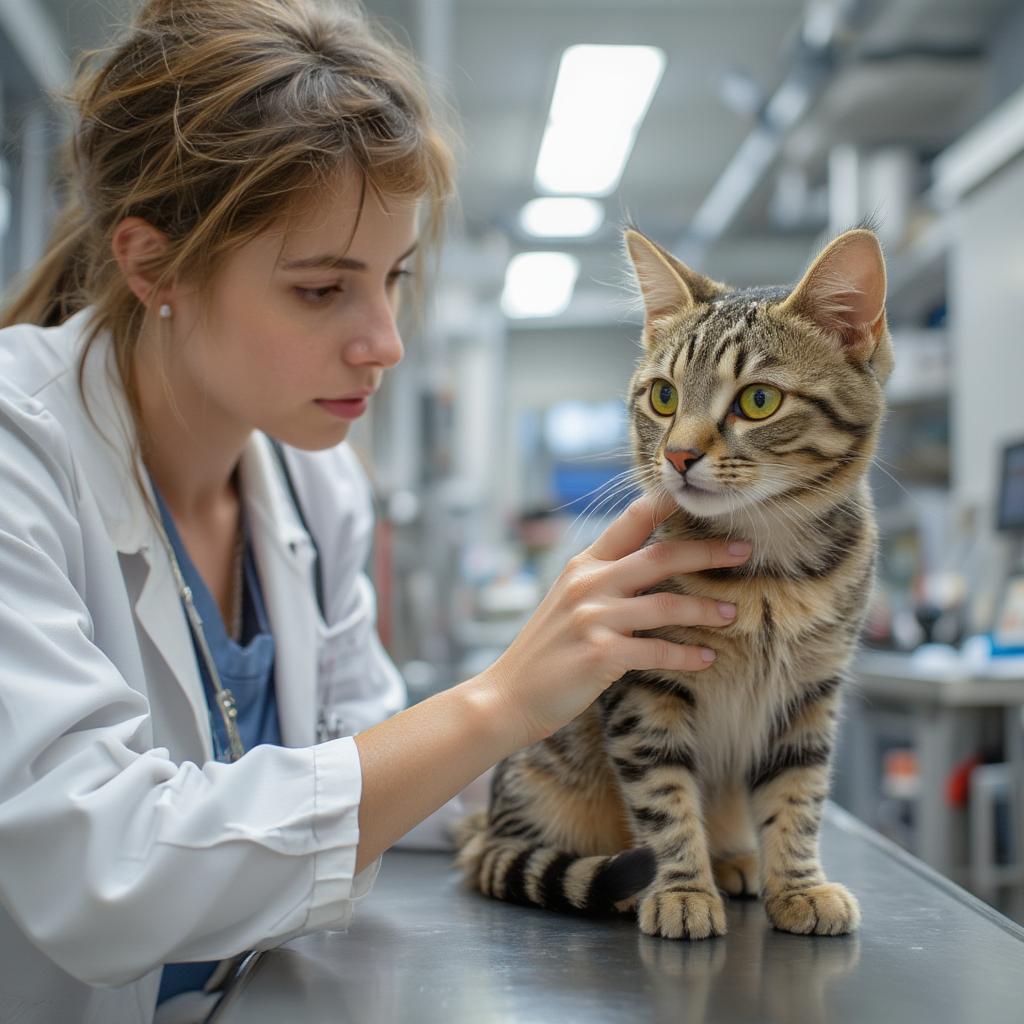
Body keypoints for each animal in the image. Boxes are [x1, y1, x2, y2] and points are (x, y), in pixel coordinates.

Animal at [456, 228, 897, 937]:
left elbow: (797, 797)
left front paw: (798, 885)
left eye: (759, 400)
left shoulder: (810, 693)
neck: (766, 571)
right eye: (663, 396)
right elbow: (663, 798)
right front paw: (682, 888)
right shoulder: (643, 687)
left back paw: (738, 859)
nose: (679, 455)